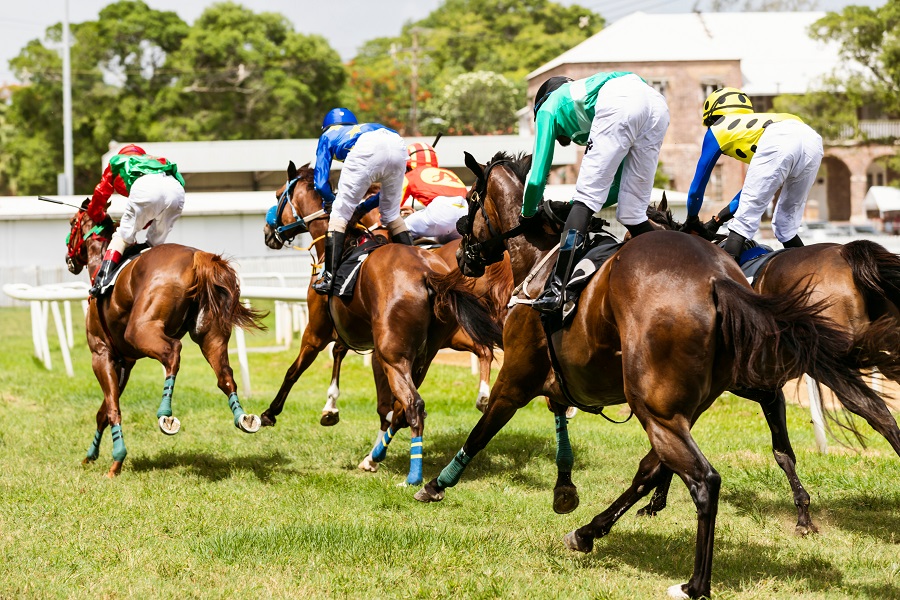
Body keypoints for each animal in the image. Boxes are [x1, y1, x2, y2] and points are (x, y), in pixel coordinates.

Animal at [65, 202, 266, 478]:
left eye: (71, 223)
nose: (69, 260)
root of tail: (198, 257)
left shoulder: (102, 354)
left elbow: (112, 408)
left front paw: (116, 460)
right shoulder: (125, 362)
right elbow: (104, 411)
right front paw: (91, 455)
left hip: (140, 331)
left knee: (173, 352)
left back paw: (165, 414)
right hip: (210, 334)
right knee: (225, 375)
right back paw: (242, 418)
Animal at [258, 162, 506, 486]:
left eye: (278, 195)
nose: (268, 233)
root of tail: (428, 274)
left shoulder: (317, 332)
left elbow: (293, 371)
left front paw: (268, 414)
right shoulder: (359, 337)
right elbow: (353, 370)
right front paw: (331, 409)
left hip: (394, 356)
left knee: (413, 404)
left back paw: (411, 474)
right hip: (426, 353)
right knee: (412, 403)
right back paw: (376, 456)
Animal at [632, 203, 900, 536]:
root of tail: (846, 254)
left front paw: (654, 503)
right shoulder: (769, 392)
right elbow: (783, 453)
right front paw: (803, 515)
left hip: (831, 363)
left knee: (876, 411)